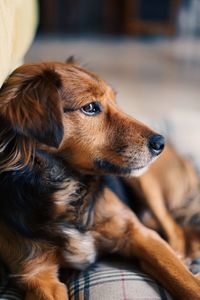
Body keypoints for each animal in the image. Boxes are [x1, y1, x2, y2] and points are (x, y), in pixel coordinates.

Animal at [0, 59, 199, 300]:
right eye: (90, 107)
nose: (161, 143)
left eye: (115, 100)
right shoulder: (36, 273)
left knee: (176, 232)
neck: (68, 189)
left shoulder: (141, 235)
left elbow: (186, 281)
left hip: (144, 183)